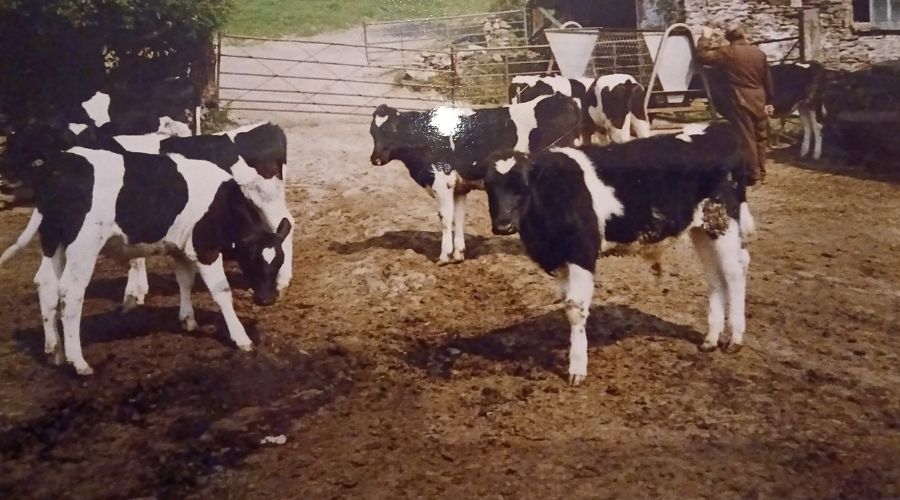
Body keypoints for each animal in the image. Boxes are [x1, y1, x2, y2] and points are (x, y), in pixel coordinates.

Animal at [0, 146, 288, 374]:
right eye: (252, 259)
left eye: (279, 262)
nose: (268, 299)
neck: (222, 203)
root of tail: (61, 162)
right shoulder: (205, 248)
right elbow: (222, 292)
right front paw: (242, 339)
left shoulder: (180, 247)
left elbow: (184, 281)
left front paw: (188, 320)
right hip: (83, 246)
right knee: (70, 293)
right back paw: (78, 362)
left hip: (53, 241)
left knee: (46, 284)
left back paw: (55, 351)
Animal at [370, 94, 580, 266]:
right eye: (373, 132)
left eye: (393, 129)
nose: (375, 159)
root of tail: (563, 99)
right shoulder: (459, 187)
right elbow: (458, 218)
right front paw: (458, 254)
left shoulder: (442, 182)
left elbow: (445, 219)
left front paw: (444, 256)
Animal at [486, 123, 752, 384]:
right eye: (489, 187)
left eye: (522, 187)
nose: (503, 225)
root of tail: (718, 129)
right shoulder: (559, 258)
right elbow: (567, 303)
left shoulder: (582, 252)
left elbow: (576, 308)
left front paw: (577, 368)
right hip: (703, 229)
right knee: (715, 277)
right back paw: (711, 339)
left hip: (723, 221)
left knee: (735, 274)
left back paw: (735, 339)